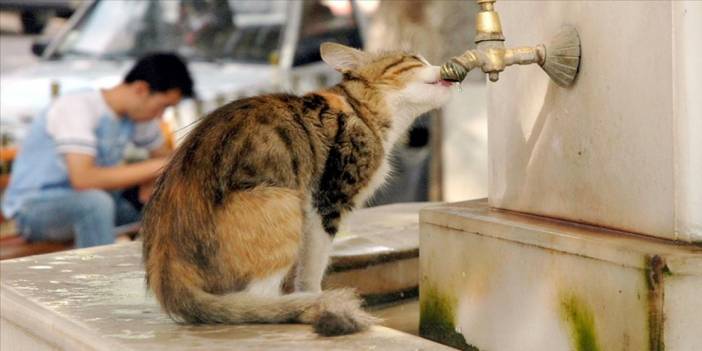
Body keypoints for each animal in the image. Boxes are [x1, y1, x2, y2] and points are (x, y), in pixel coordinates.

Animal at [140, 42, 454, 336]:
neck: (363, 113)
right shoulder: (325, 203)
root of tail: (167, 274)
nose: (443, 65)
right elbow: (313, 267)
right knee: (258, 297)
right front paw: (314, 296)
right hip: (284, 201)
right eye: (415, 59)